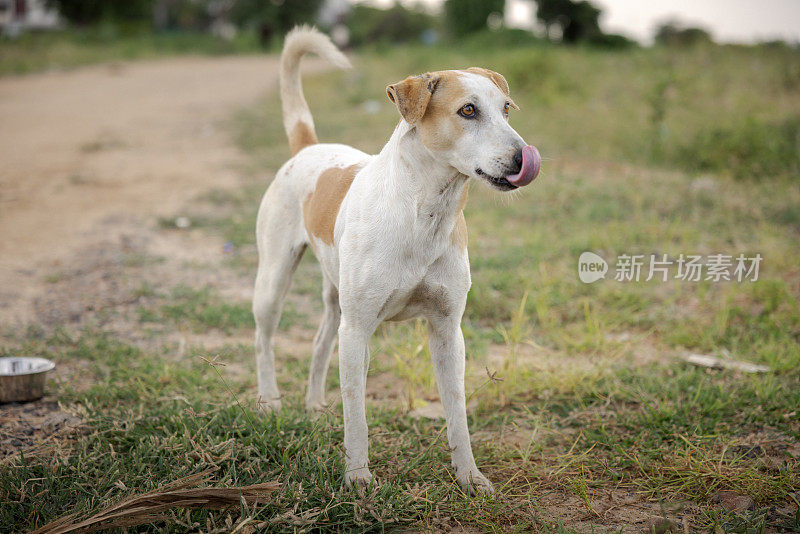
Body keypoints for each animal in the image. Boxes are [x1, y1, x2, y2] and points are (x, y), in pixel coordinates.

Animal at [253, 25, 540, 494]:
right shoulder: (358, 331)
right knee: (264, 339)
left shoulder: (447, 331)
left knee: (319, 343)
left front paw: (469, 476)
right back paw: (269, 402)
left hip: (336, 299)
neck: (425, 214)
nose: (523, 156)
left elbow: (457, 414)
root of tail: (308, 147)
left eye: (506, 110)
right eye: (467, 110)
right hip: (275, 281)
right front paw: (357, 478)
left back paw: (314, 408)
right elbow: (357, 416)